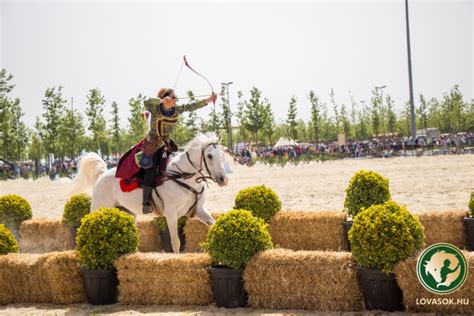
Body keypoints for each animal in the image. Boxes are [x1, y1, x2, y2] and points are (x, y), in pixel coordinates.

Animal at [70, 133, 230, 252]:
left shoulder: (199, 210)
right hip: (99, 209)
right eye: (209, 156)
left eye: (222, 155)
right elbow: (176, 242)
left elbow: (214, 224)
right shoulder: (171, 215)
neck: (182, 177)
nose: (224, 179)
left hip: (127, 213)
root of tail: (102, 174)